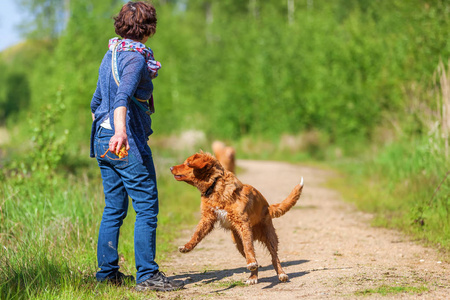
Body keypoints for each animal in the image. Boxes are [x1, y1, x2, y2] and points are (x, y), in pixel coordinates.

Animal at [171, 151, 304, 284]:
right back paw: (253, 277)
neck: (215, 186)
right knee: (253, 259)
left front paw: (252, 262)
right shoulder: (207, 219)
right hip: (237, 242)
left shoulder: (242, 223)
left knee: (274, 257)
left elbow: (249, 246)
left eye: (188, 163)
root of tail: (268, 207)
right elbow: (197, 234)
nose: (171, 168)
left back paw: (281, 274)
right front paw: (187, 247)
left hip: (269, 236)